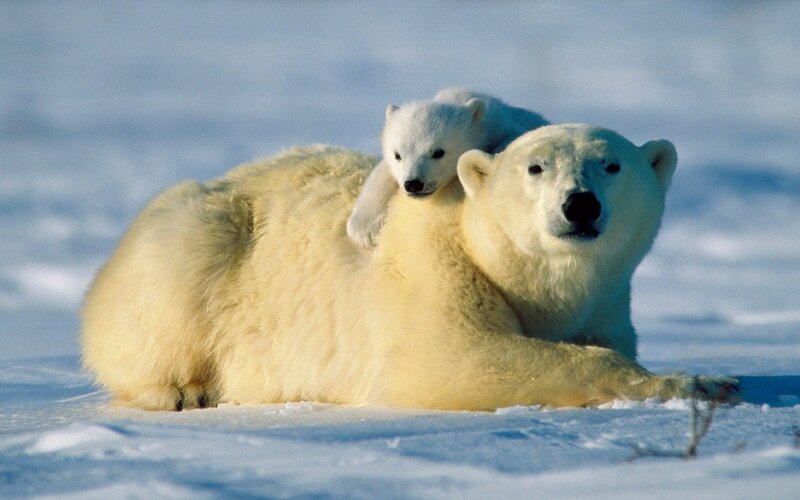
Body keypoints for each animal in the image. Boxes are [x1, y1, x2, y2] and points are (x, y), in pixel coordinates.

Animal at [80, 124, 739, 411]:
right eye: (536, 167)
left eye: (612, 165)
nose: (580, 204)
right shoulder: (434, 268)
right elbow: (454, 357)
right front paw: (702, 382)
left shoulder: (605, 302)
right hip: (197, 237)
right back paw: (182, 390)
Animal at [346, 87, 548, 248]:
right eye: (397, 155)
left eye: (438, 152)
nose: (413, 184)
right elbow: (381, 173)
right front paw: (364, 229)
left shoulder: (504, 126)